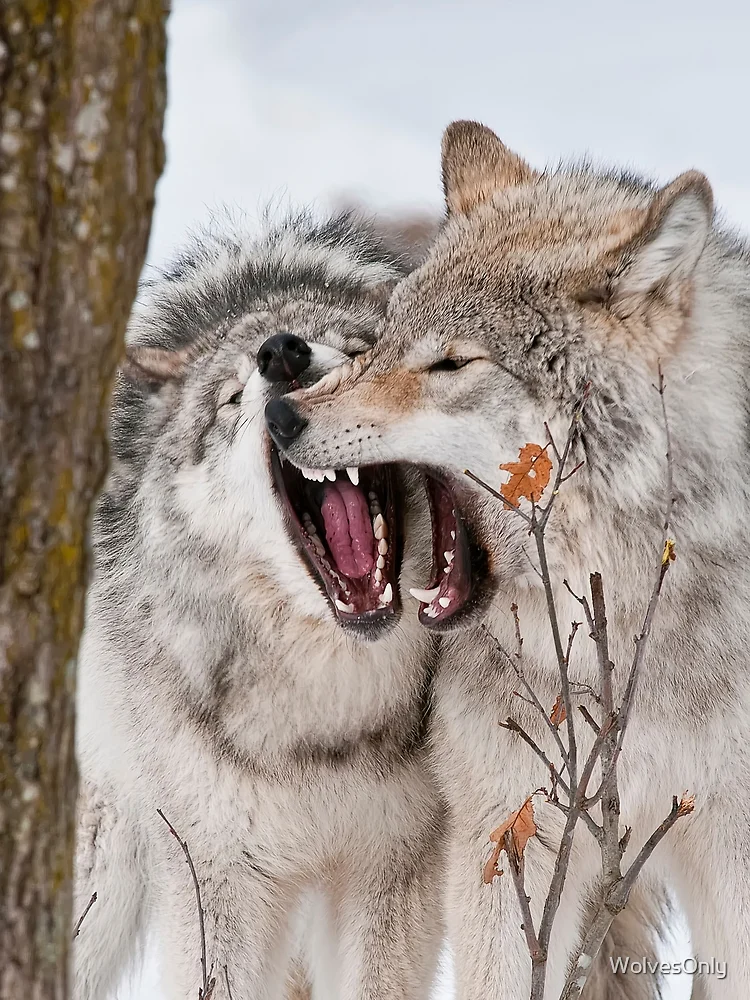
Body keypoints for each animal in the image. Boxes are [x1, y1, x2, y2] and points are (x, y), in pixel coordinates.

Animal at [72, 210, 447, 1000]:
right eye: (231, 398)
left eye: (362, 354)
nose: (282, 352)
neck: (327, 712)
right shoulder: (221, 876)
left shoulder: (397, 866)